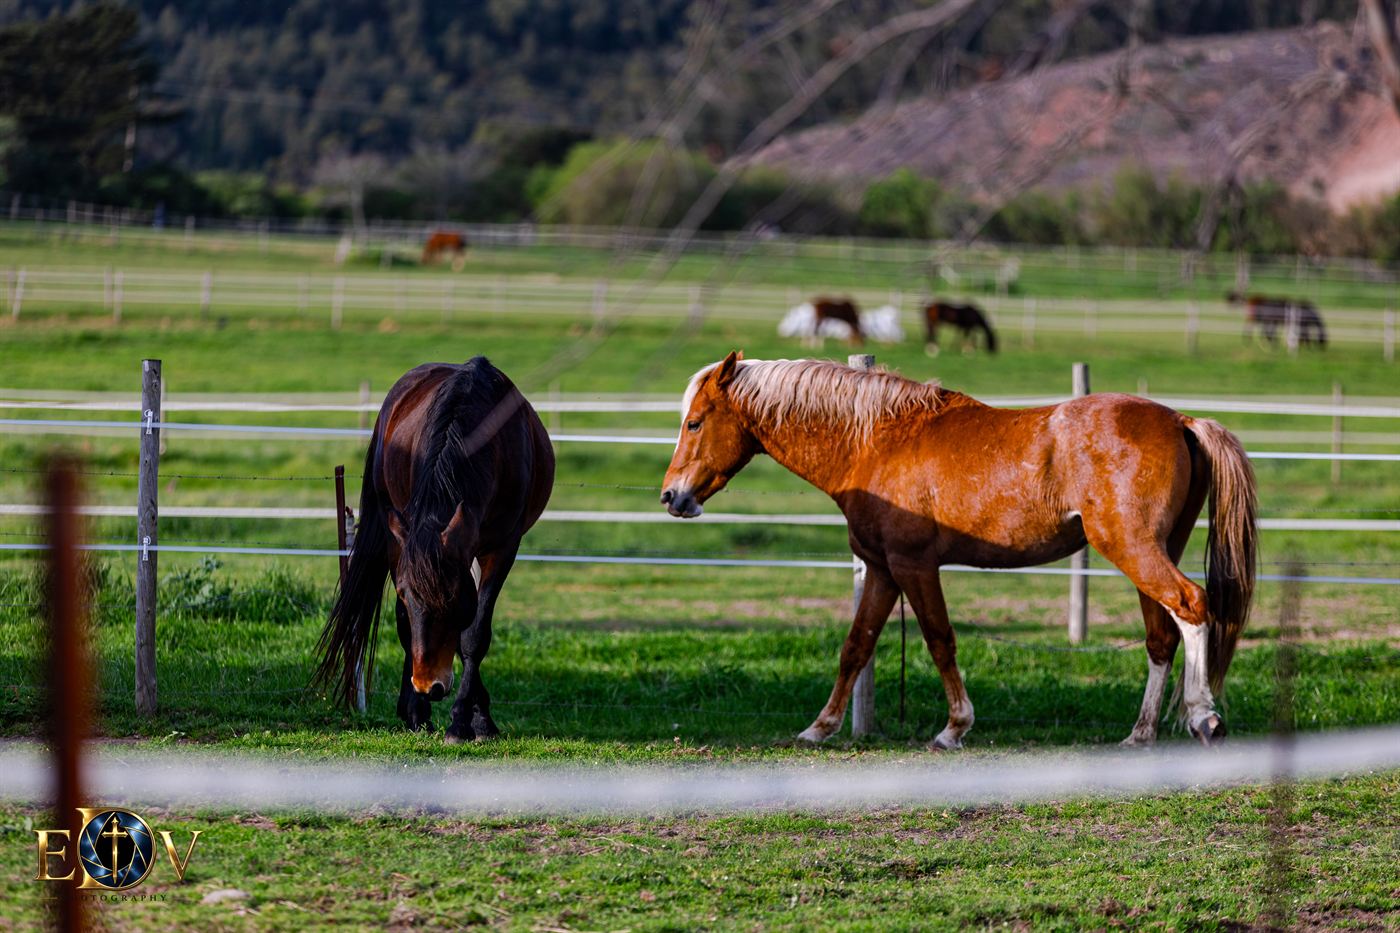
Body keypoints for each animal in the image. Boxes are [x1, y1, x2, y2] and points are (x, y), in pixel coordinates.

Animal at [314, 357, 554, 742]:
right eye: (405, 593)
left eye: (452, 598)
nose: (429, 685)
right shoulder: (405, 547)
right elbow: (406, 622)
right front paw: (423, 712)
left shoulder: (501, 548)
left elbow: (474, 634)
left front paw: (467, 721)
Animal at [661, 353, 1256, 749]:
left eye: (695, 422)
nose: (672, 496)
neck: (875, 441)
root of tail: (1180, 421)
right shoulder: (882, 569)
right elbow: (856, 646)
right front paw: (819, 727)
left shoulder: (915, 566)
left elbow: (940, 641)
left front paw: (954, 727)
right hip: (1151, 551)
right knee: (1161, 638)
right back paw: (1140, 733)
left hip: (1133, 550)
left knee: (1192, 607)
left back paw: (1204, 717)